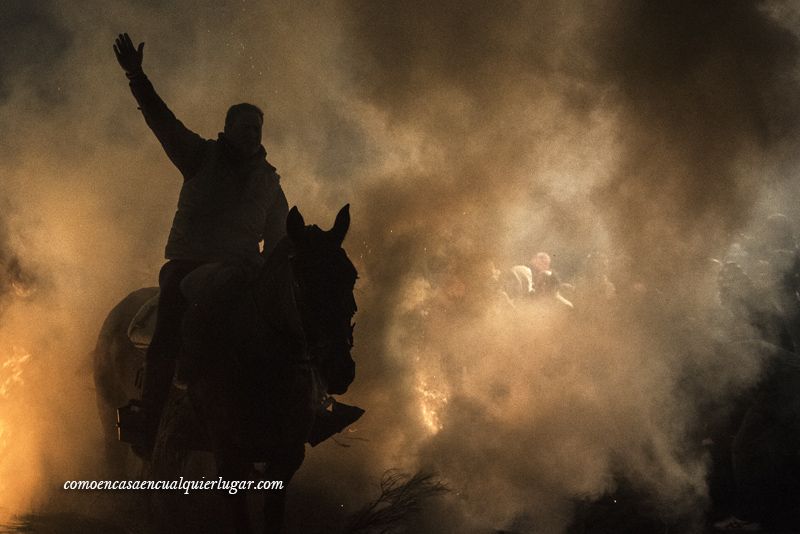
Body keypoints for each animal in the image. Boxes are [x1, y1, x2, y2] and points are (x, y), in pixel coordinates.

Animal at [92, 206, 358, 534]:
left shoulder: (287, 457)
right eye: (301, 281)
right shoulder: (229, 456)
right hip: (108, 413)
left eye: (351, 276)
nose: (340, 368)